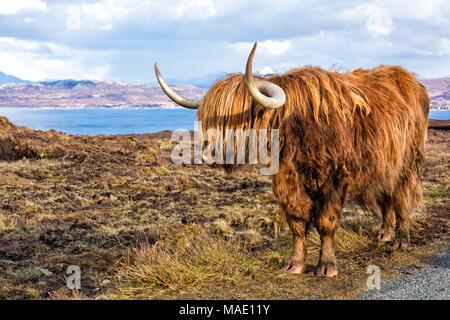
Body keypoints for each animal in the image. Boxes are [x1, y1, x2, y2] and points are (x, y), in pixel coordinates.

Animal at [156, 42, 430, 278]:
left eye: (236, 120)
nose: (208, 155)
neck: (297, 129)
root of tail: (410, 79)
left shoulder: (335, 178)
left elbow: (326, 221)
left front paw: (327, 266)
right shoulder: (286, 179)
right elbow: (297, 220)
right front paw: (295, 264)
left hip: (408, 161)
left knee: (402, 197)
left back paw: (401, 240)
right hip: (386, 164)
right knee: (387, 196)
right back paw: (385, 233)